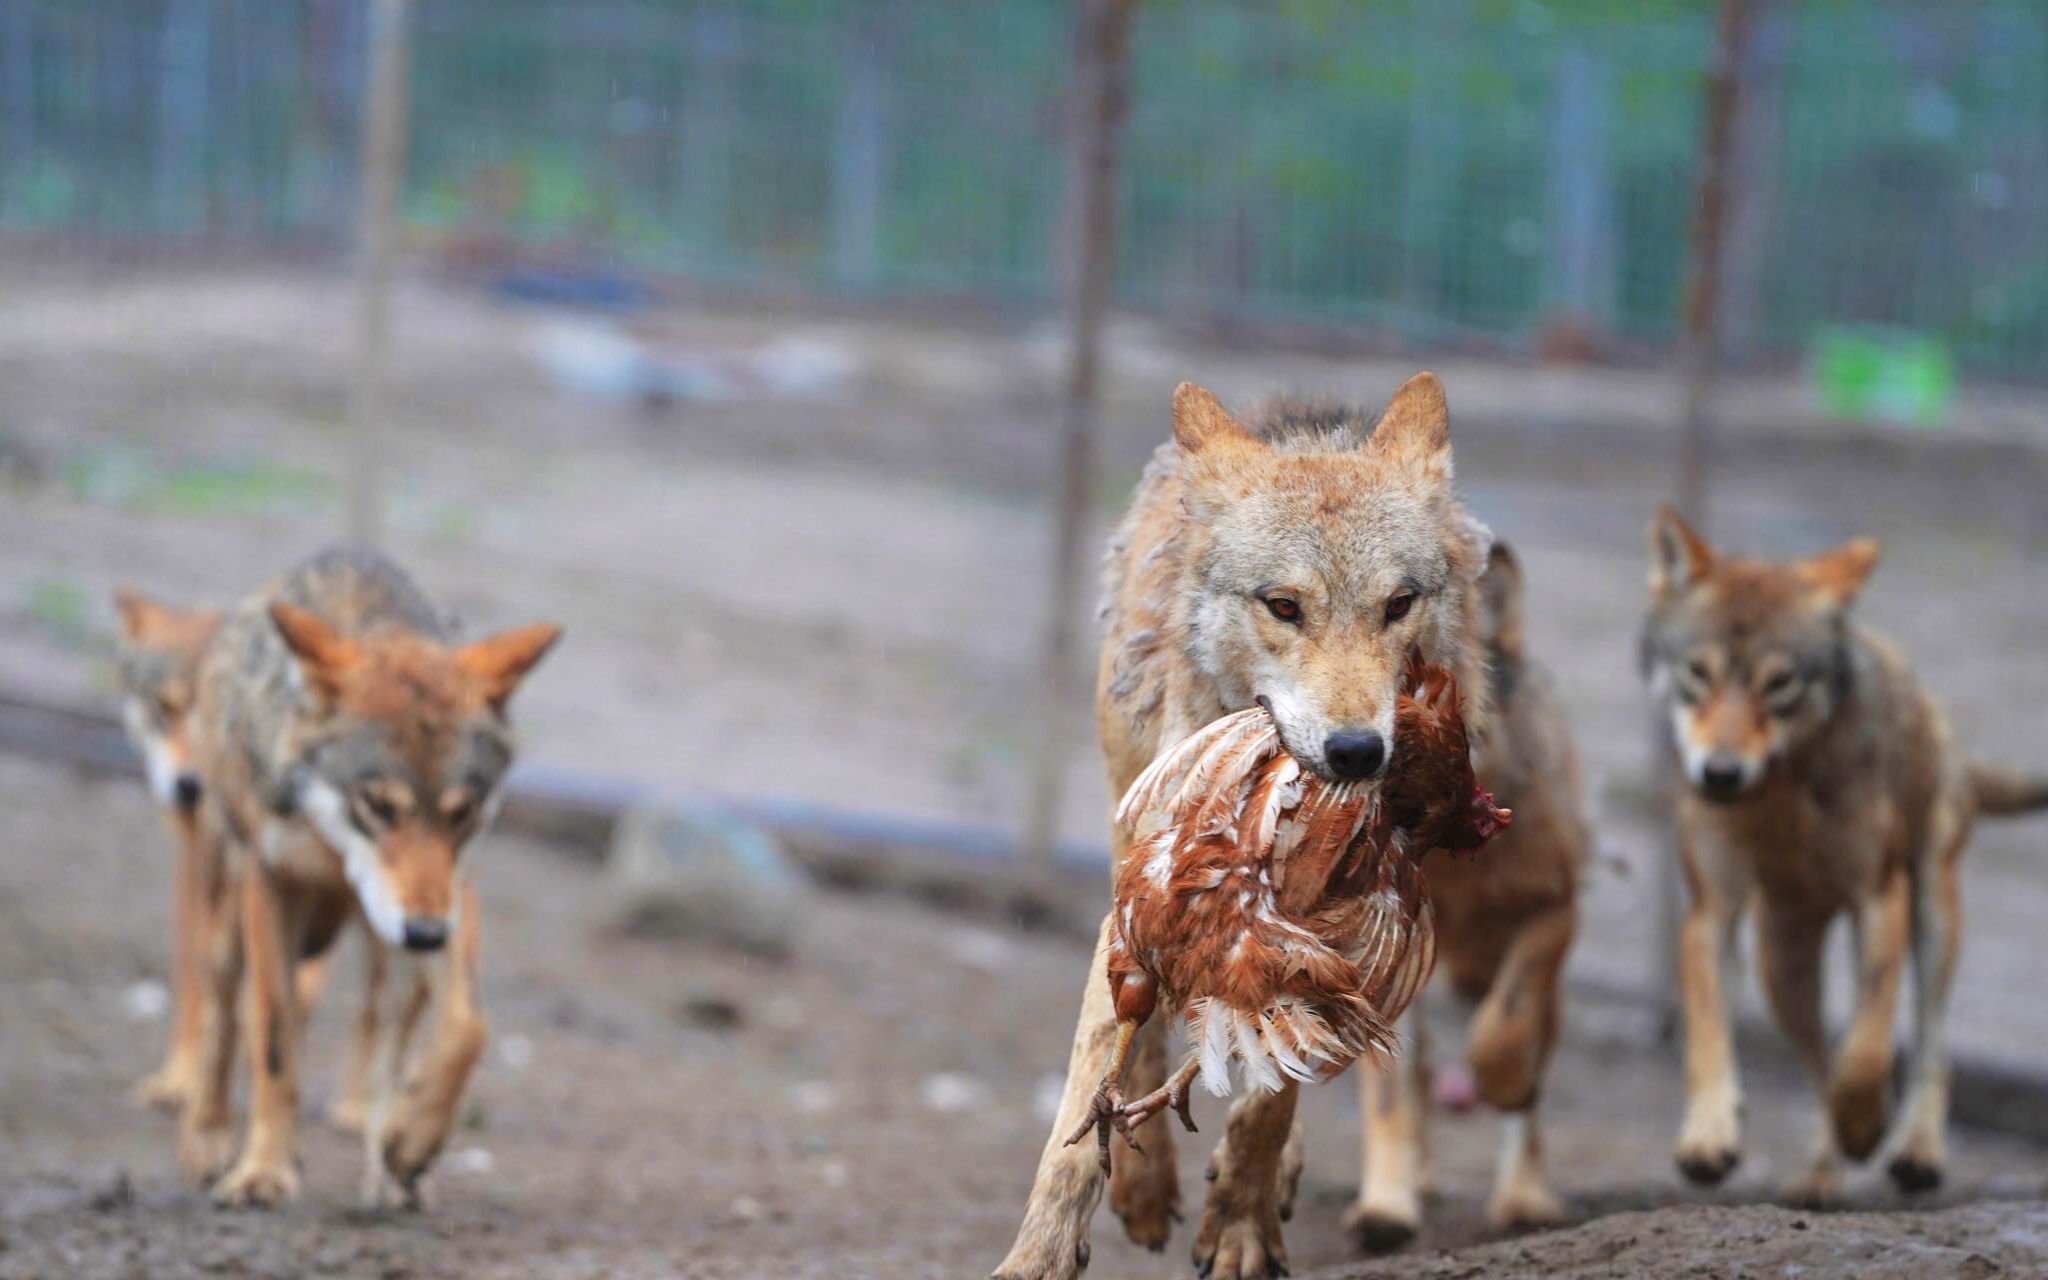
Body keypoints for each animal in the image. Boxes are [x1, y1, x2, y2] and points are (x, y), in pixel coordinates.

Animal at [176, 544, 557, 1204]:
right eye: (379, 805)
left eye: (460, 814)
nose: (426, 935)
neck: (334, 849)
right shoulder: (272, 883)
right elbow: (272, 1039)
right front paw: (263, 1170)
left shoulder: (450, 892)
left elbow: (468, 1029)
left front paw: (410, 1142)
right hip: (233, 917)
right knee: (226, 1012)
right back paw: (209, 1135)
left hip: (385, 944)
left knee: (385, 1023)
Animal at [1351, 540, 1589, 1245]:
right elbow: (1389, 1093)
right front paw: (1385, 1206)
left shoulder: (1555, 910)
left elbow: (1503, 1033)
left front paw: (1503, 1087)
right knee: (1417, 1073)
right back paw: (1410, 1186)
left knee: (1528, 1064)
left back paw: (1523, 1197)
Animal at [1646, 505, 2048, 1196]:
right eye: (1698, 673)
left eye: (1779, 683)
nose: (1719, 774)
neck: (1780, 791)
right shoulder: (1710, 911)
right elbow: (1708, 1034)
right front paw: (1710, 1137)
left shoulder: (1880, 895)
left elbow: (1867, 1047)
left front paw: (1865, 1126)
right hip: (1782, 968)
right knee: (1816, 1059)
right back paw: (1819, 1175)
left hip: (1933, 913)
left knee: (1929, 1044)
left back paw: (1914, 1150)